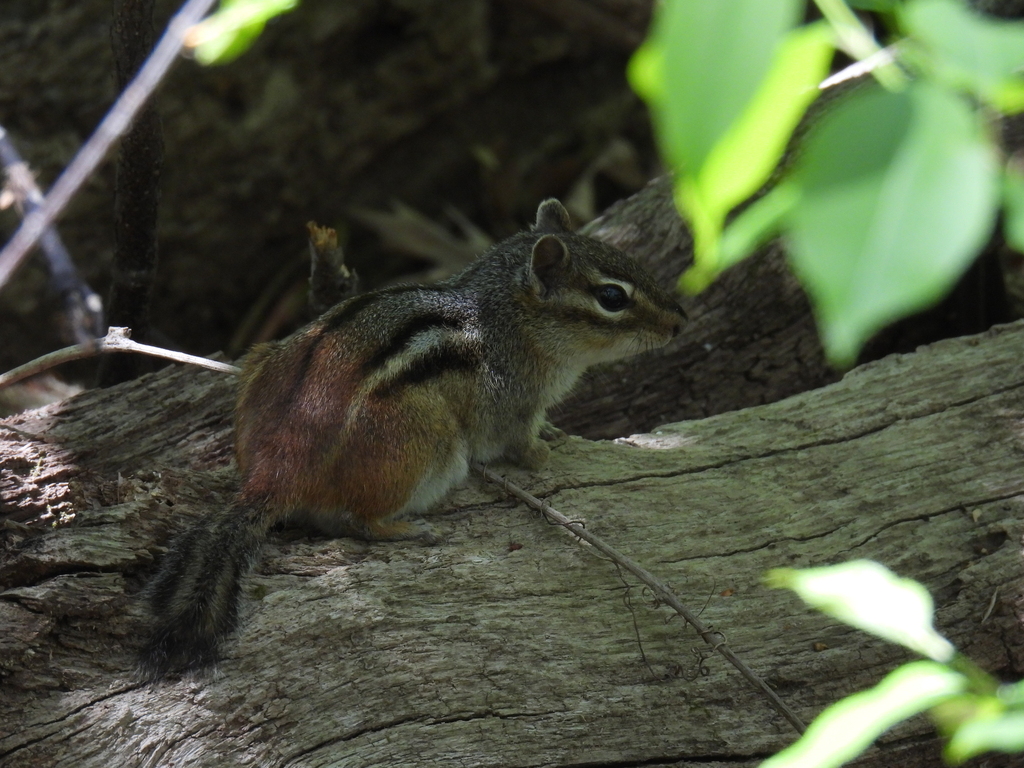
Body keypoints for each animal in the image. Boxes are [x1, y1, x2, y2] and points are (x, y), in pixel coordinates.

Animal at [140, 199, 685, 677]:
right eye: (612, 297)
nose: (680, 322)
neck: (506, 318)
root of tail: (274, 473)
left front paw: (555, 431)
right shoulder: (515, 402)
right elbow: (522, 445)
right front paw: (544, 450)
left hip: (259, 364)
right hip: (426, 446)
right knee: (356, 521)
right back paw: (407, 530)